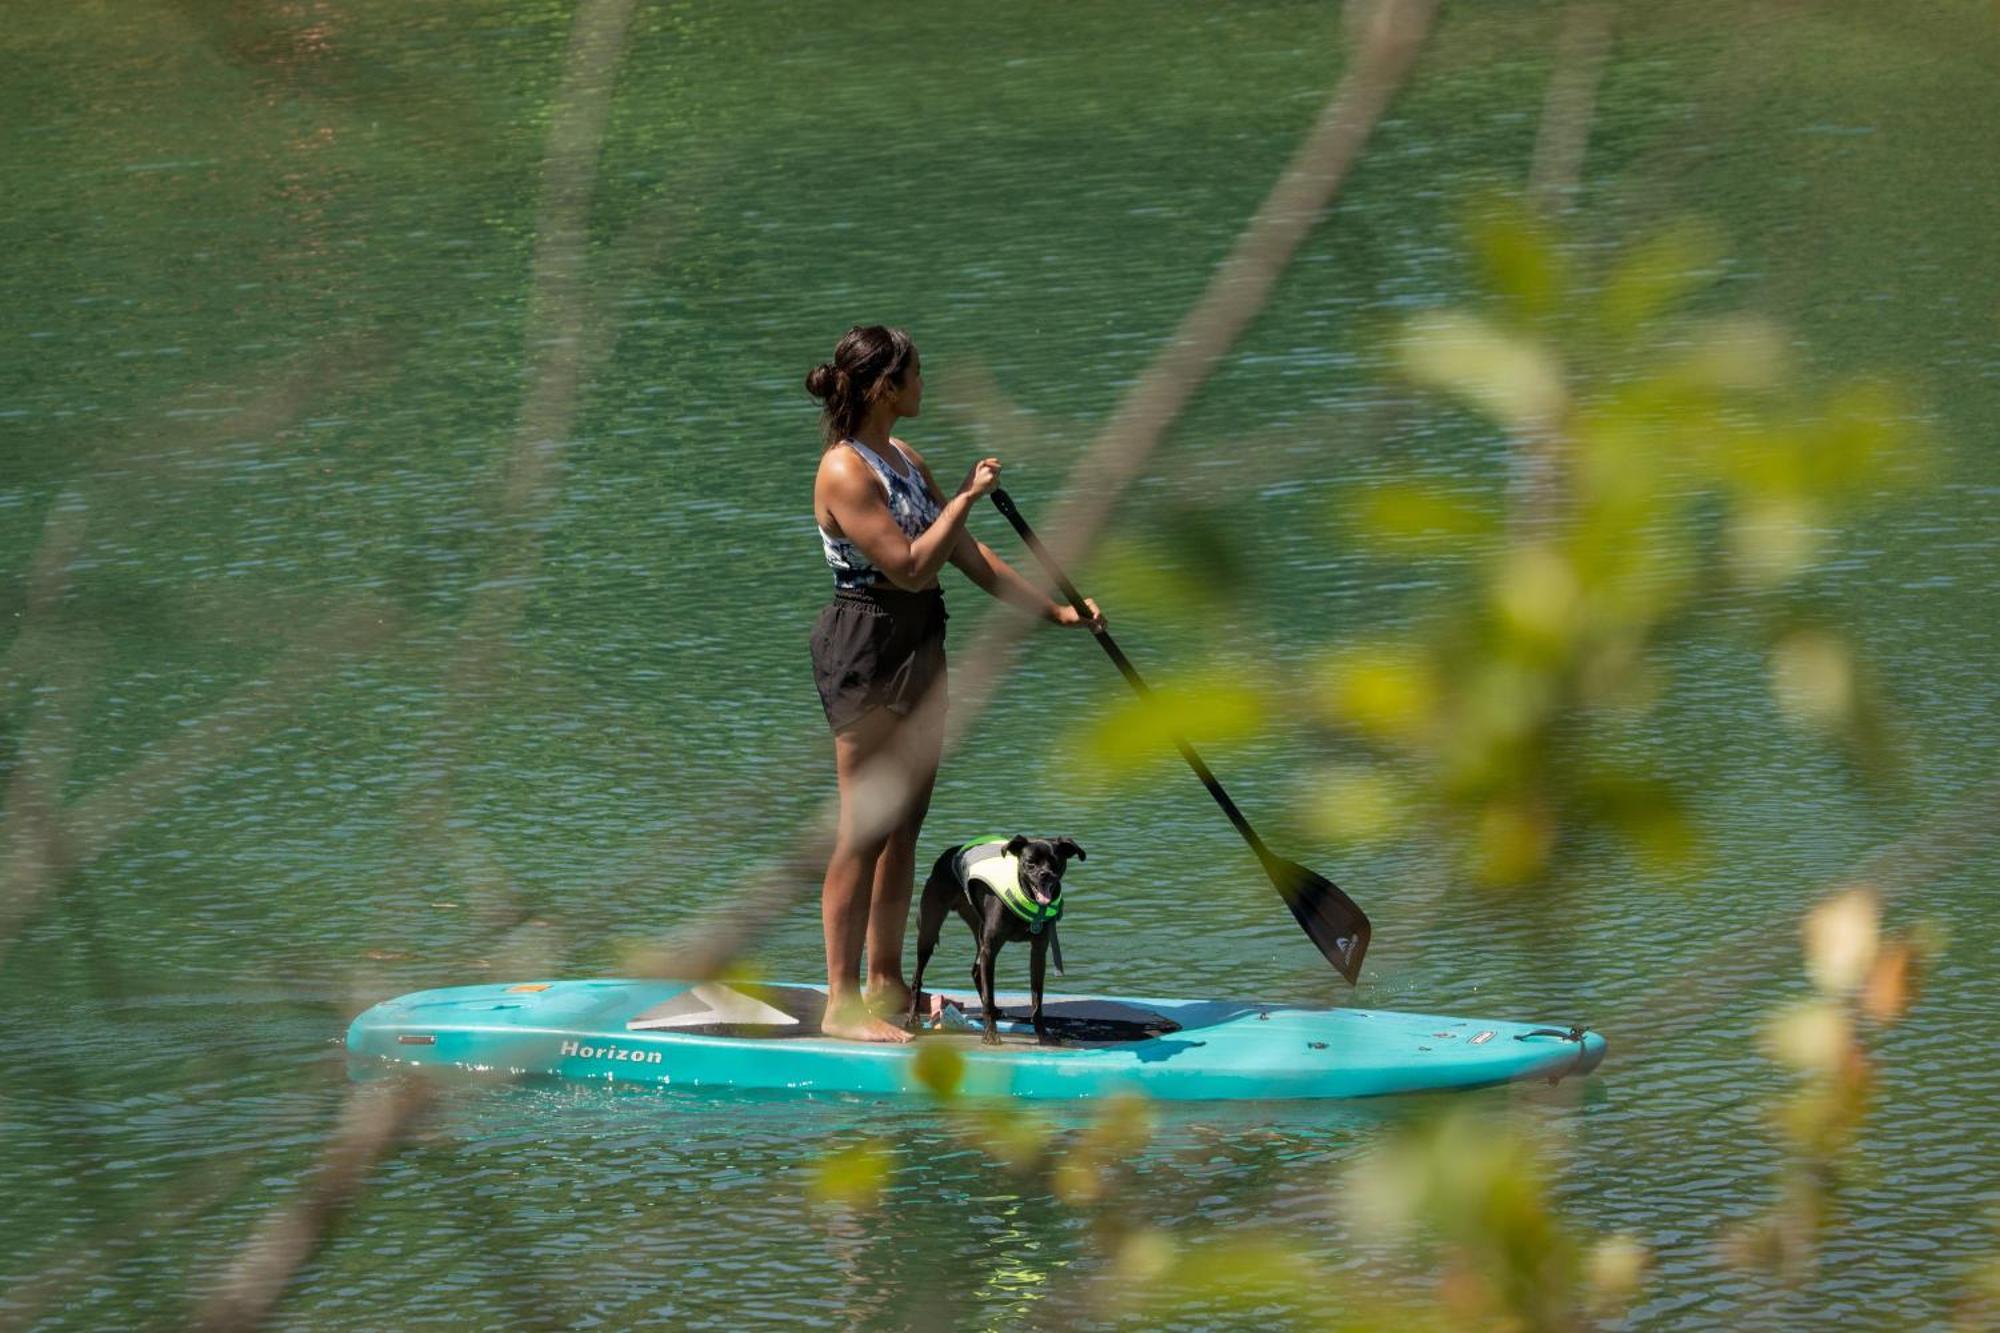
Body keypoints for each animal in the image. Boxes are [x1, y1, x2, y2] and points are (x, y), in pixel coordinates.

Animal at [912, 836, 1088, 1040]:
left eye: (1056, 861)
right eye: (1030, 863)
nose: (1045, 875)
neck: (1025, 893)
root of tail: (949, 854)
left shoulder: (1038, 952)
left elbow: (1037, 999)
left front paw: (1042, 1033)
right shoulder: (990, 950)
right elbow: (990, 994)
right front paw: (990, 1034)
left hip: (978, 929)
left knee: (976, 971)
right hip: (929, 932)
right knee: (917, 978)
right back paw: (912, 1019)